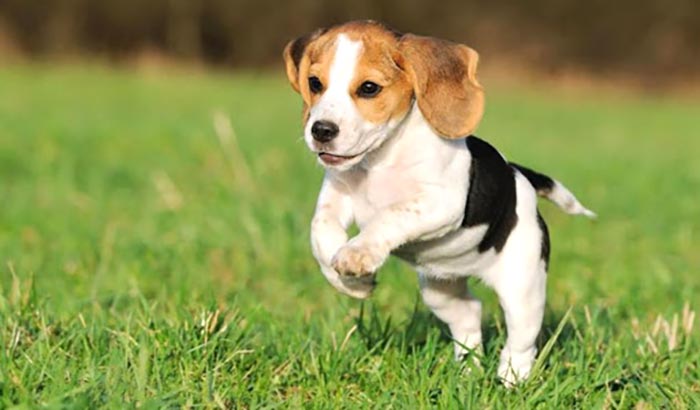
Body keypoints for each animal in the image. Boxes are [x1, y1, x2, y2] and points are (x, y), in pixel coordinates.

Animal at [282, 20, 592, 384]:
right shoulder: (337, 195)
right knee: (469, 314)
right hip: (440, 291)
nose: (321, 131)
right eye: (315, 83)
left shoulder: (440, 203)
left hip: (522, 289)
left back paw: (510, 380)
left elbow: (389, 215)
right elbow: (322, 231)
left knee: (522, 342)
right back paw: (467, 371)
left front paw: (357, 254)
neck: (379, 158)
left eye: (369, 88)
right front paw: (351, 283)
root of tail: (519, 174)